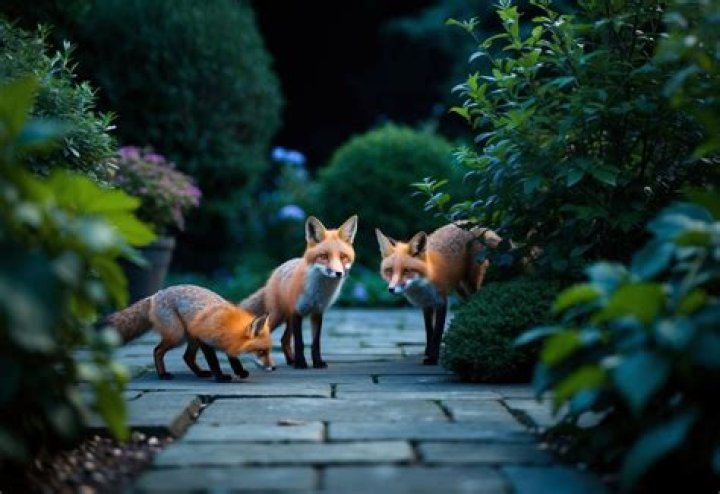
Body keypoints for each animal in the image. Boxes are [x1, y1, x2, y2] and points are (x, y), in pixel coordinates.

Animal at [104, 284, 273, 382]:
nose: (272, 368)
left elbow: (234, 359)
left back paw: (200, 374)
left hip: (190, 338)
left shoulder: (226, 343)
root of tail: (155, 295)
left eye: (268, 351)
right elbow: (214, 362)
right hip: (177, 336)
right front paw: (220, 377)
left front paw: (240, 372)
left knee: (187, 357)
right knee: (157, 350)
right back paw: (163, 375)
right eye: (261, 351)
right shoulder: (204, 339)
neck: (227, 324)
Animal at [241, 215, 358, 369]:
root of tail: (275, 273)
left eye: (343, 257)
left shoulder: (317, 313)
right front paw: (301, 363)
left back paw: (291, 361)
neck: (317, 292)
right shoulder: (297, 312)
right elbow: (299, 343)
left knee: (284, 340)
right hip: (278, 316)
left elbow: (315, 344)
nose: (338, 273)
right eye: (324, 256)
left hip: (287, 318)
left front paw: (317, 362)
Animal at [375, 223, 501, 365]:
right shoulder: (426, 305)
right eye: (389, 270)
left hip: (471, 284)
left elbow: (438, 333)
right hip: (461, 289)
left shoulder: (442, 302)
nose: (391, 289)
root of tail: (473, 225)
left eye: (407, 270)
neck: (422, 285)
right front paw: (427, 353)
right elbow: (429, 332)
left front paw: (433, 358)